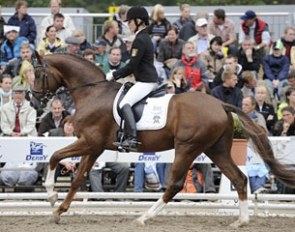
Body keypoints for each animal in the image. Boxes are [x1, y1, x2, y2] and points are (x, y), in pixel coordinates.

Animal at [33, 53, 295, 227]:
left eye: (38, 74)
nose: (34, 99)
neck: (92, 93)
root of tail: (221, 104)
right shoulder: (94, 147)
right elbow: (78, 179)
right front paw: (59, 210)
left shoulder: (90, 142)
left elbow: (54, 156)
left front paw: (51, 196)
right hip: (216, 149)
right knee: (239, 178)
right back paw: (240, 221)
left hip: (187, 148)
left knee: (175, 185)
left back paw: (143, 217)